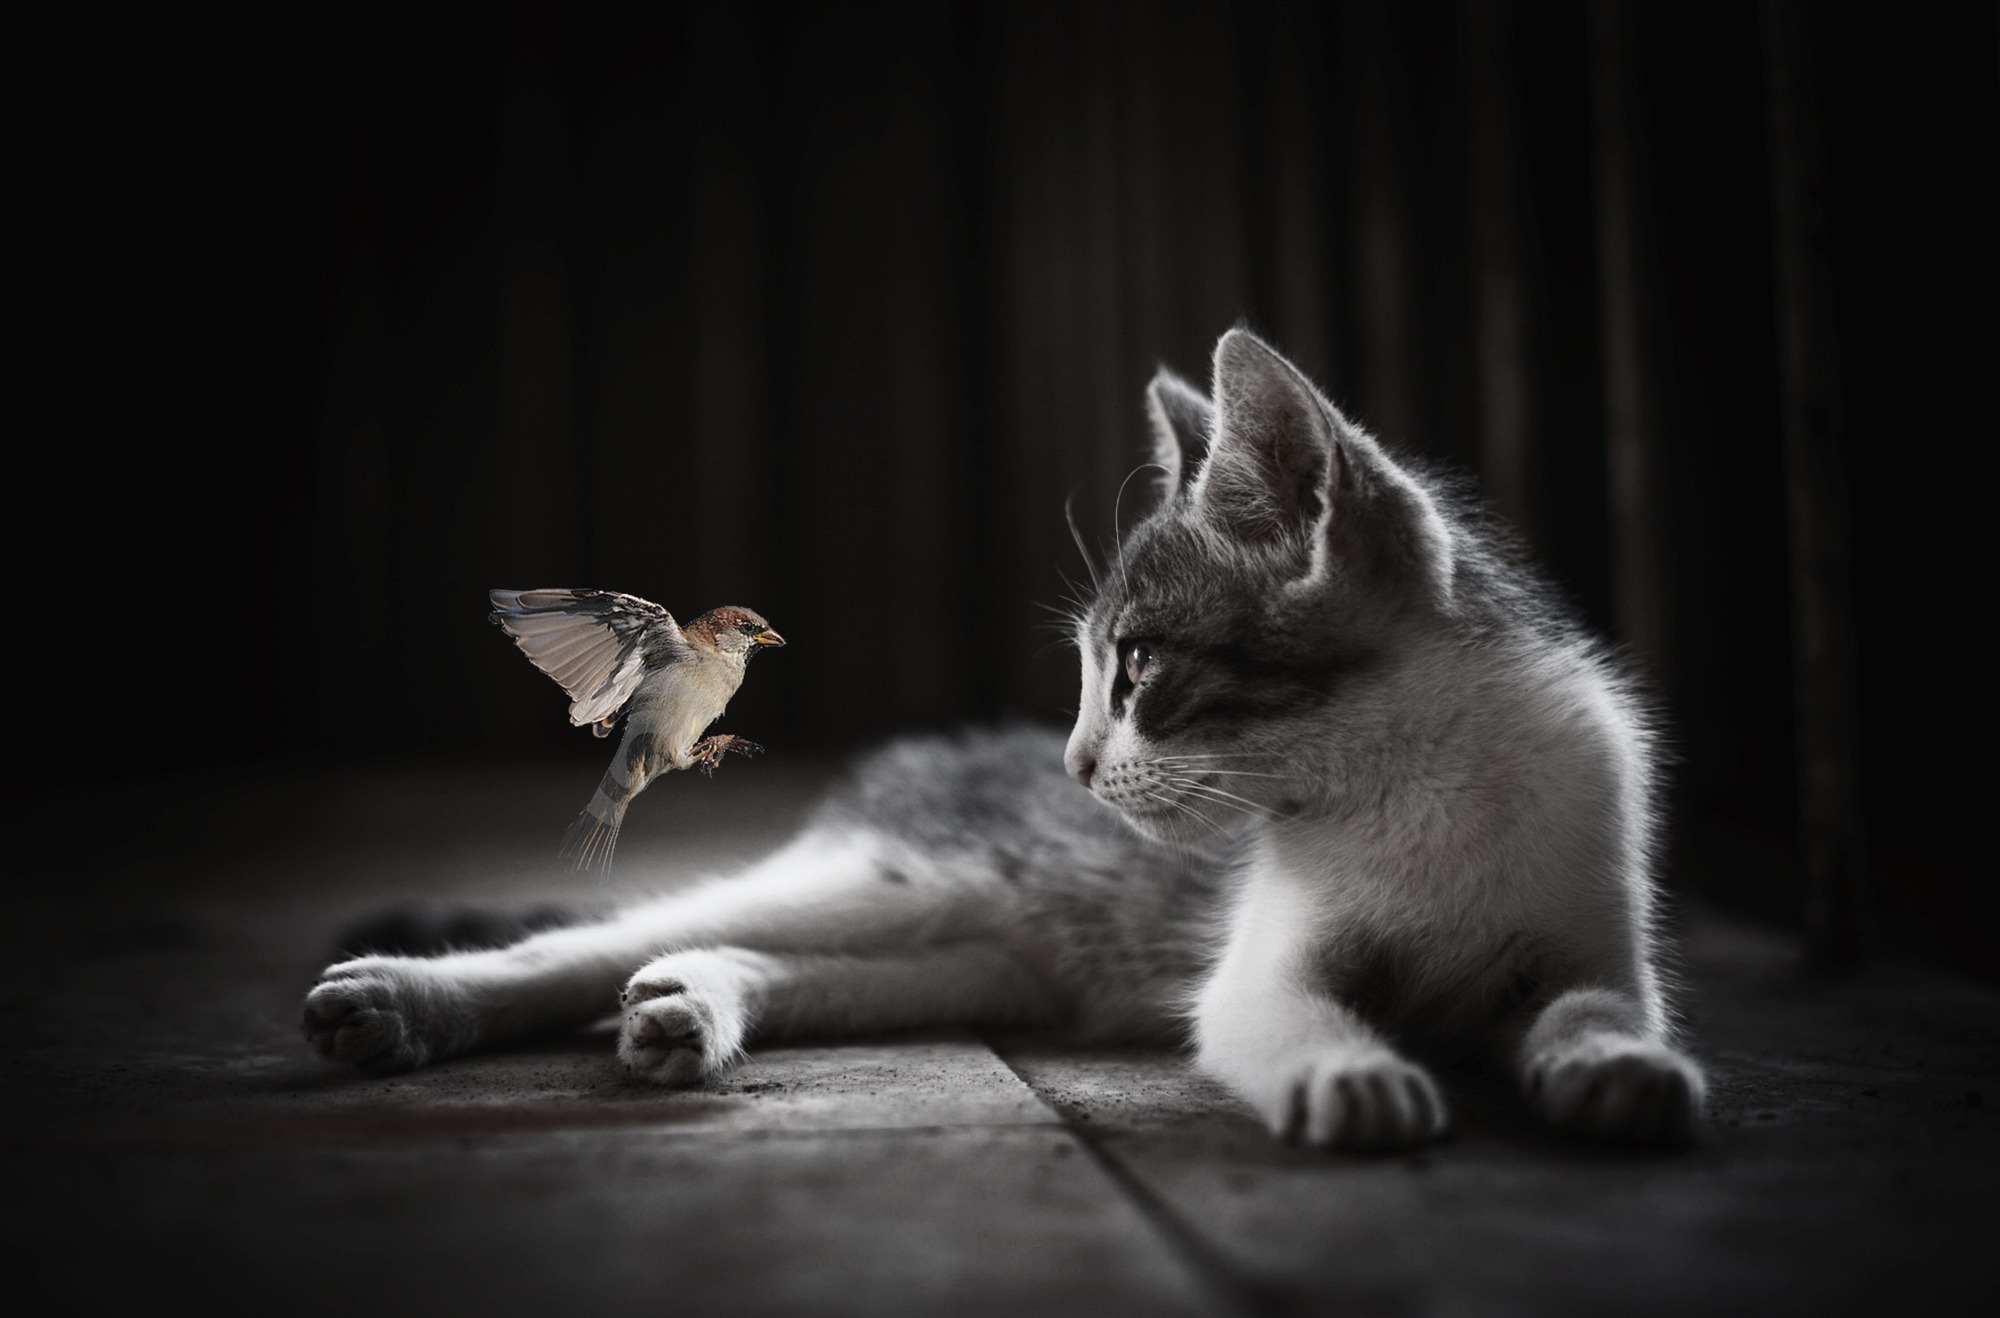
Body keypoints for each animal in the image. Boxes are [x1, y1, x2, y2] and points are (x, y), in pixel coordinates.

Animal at [308, 328, 1704, 1144]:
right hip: (897, 878)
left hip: (986, 956)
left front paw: (1616, 1064)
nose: (1075, 767)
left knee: (764, 953)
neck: (1409, 782)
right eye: (1089, 673)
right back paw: (406, 1002)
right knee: (589, 939)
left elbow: (1591, 1001)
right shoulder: (1258, 960)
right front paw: (1345, 1072)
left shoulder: (1585, 921)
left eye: (1134, 667)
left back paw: (689, 1007)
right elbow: (1270, 1008)